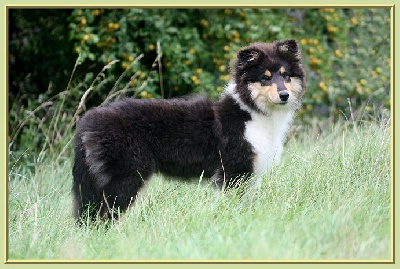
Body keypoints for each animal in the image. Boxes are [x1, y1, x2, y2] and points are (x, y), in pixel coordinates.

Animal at [72, 39, 306, 220]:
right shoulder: (233, 171)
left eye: (285, 75)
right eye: (265, 77)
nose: (284, 95)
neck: (250, 112)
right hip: (125, 177)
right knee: (106, 216)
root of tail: (88, 120)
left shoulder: (251, 173)